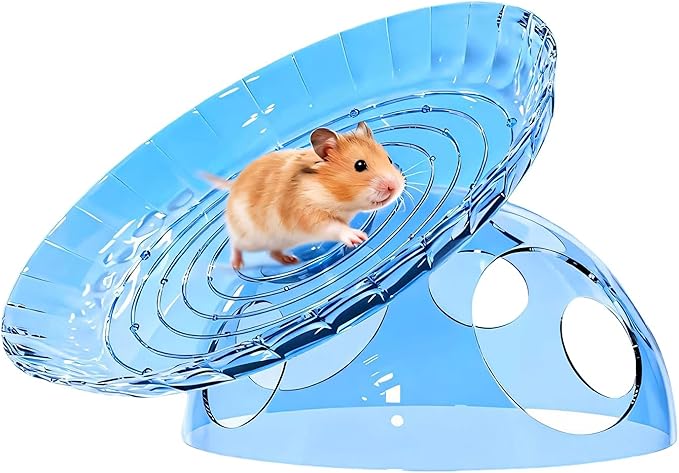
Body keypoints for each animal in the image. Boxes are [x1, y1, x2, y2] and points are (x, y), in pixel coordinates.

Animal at [201, 121, 405, 269]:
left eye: (389, 159)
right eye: (360, 165)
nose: (394, 187)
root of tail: (234, 186)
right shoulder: (309, 216)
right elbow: (334, 227)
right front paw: (358, 237)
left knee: (272, 252)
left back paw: (291, 260)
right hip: (249, 238)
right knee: (235, 244)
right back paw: (237, 265)